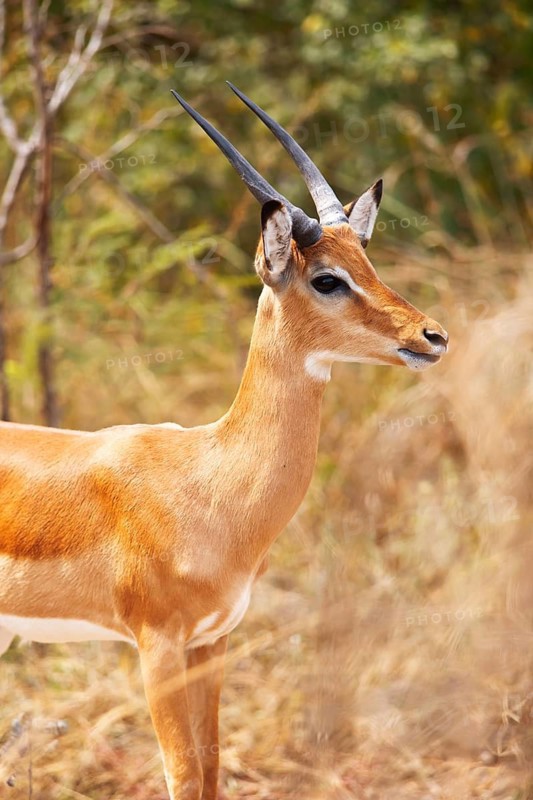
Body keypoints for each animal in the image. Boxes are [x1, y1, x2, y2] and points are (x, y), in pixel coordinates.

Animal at [0, 84, 448, 800]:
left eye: (368, 261)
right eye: (327, 278)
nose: (432, 336)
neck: (209, 479)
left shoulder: (214, 641)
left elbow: (212, 768)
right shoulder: (157, 646)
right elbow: (184, 775)